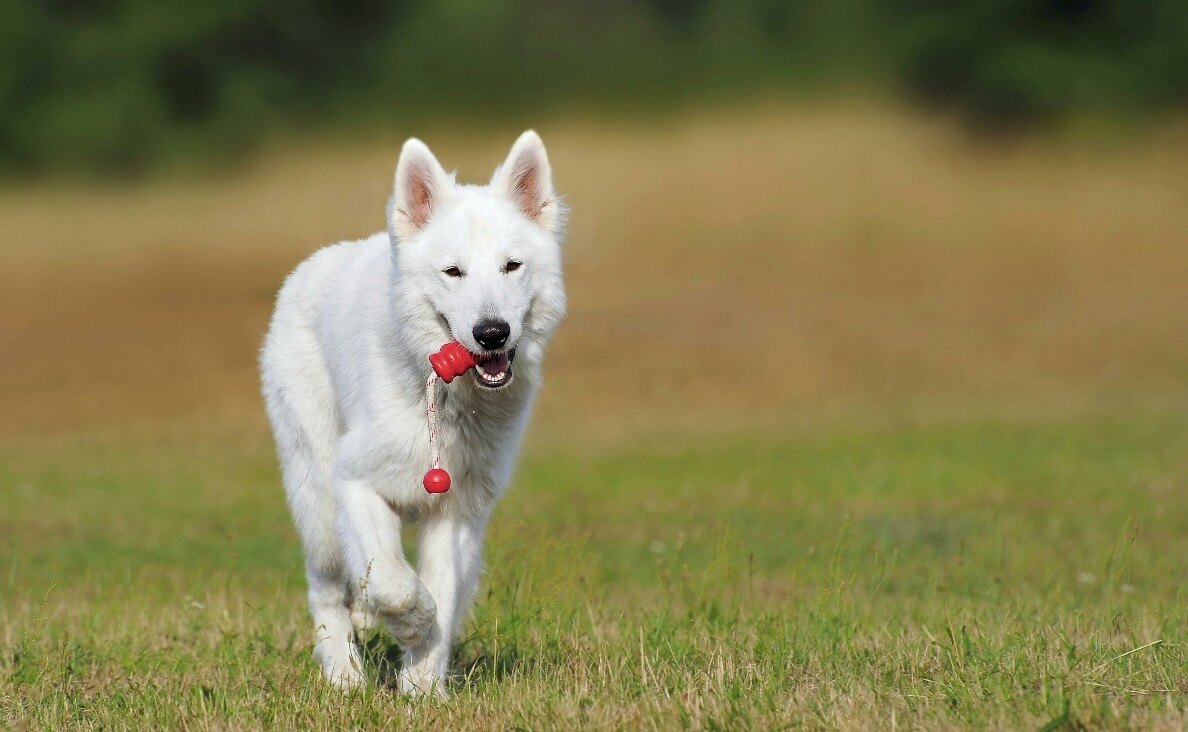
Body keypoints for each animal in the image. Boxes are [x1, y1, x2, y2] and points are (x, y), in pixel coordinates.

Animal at [262, 133, 567, 698]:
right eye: (453, 272)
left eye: (512, 267)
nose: (492, 333)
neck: (445, 401)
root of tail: (310, 266)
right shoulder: (355, 483)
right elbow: (394, 583)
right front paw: (411, 625)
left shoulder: (457, 512)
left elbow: (441, 590)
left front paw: (424, 688)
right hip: (316, 497)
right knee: (326, 588)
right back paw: (344, 676)